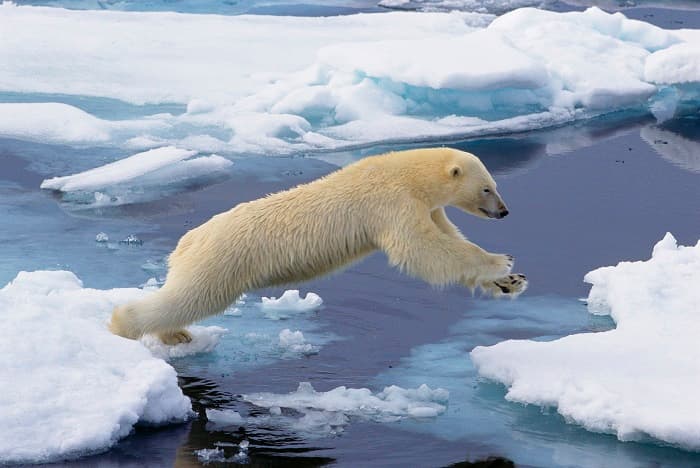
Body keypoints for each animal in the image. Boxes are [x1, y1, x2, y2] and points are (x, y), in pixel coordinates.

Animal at [109, 147, 527, 344]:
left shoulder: (427, 207)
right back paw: (125, 326)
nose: (505, 211)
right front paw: (501, 262)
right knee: (191, 297)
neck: (406, 174)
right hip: (222, 260)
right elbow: (422, 251)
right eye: (487, 188)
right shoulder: (391, 203)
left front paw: (510, 282)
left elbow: (448, 240)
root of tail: (189, 240)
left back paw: (174, 333)